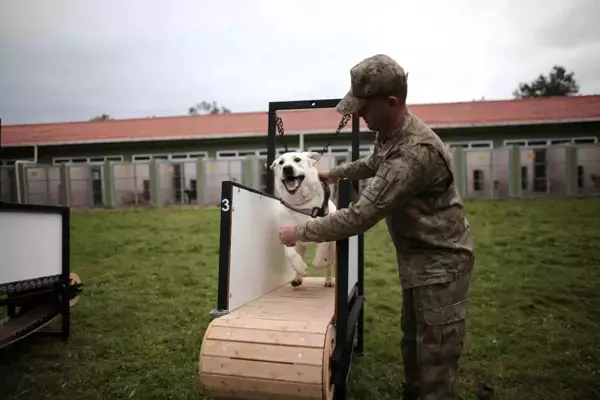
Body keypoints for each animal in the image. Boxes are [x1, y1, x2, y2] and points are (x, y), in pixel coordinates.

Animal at [272, 151, 338, 288]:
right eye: (281, 163)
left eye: (297, 159)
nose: (287, 168)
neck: (301, 205)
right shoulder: (287, 234)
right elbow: (290, 254)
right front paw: (301, 268)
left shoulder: (324, 232)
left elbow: (320, 258)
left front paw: (322, 263)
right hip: (300, 246)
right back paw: (297, 278)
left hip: (333, 246)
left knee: (331, 262)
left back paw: (329, 280)